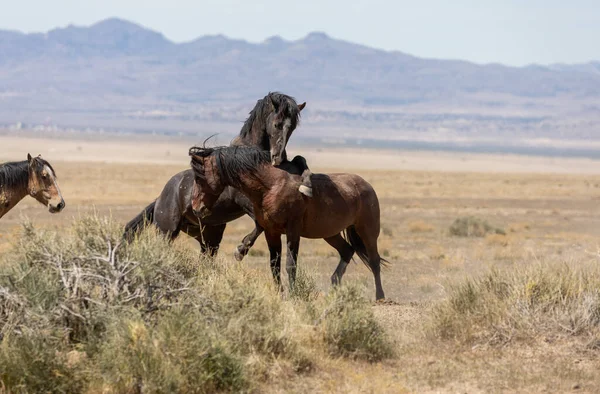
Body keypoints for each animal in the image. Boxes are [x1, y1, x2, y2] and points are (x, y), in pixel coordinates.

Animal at [120, 92, 310, 258]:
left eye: (292, 127)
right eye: (277, 124)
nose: (278, 157)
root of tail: (159, 199)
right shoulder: (245, 202)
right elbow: (260, 224)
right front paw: (240, 250)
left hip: (208, 237)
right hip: (167, 232)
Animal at [190, 145, 392, 302]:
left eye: (199, 177)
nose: (196, 208)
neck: (272, 186)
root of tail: (367, 186)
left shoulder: (293, 231)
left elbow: (290, 264)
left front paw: (294, 294)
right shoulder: (271, 232)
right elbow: (274, 265)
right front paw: (279, 293)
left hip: (367, 230)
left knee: (374, 260)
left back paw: (380, 296)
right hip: (330, 234)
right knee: (347, 251)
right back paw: (335, 286)